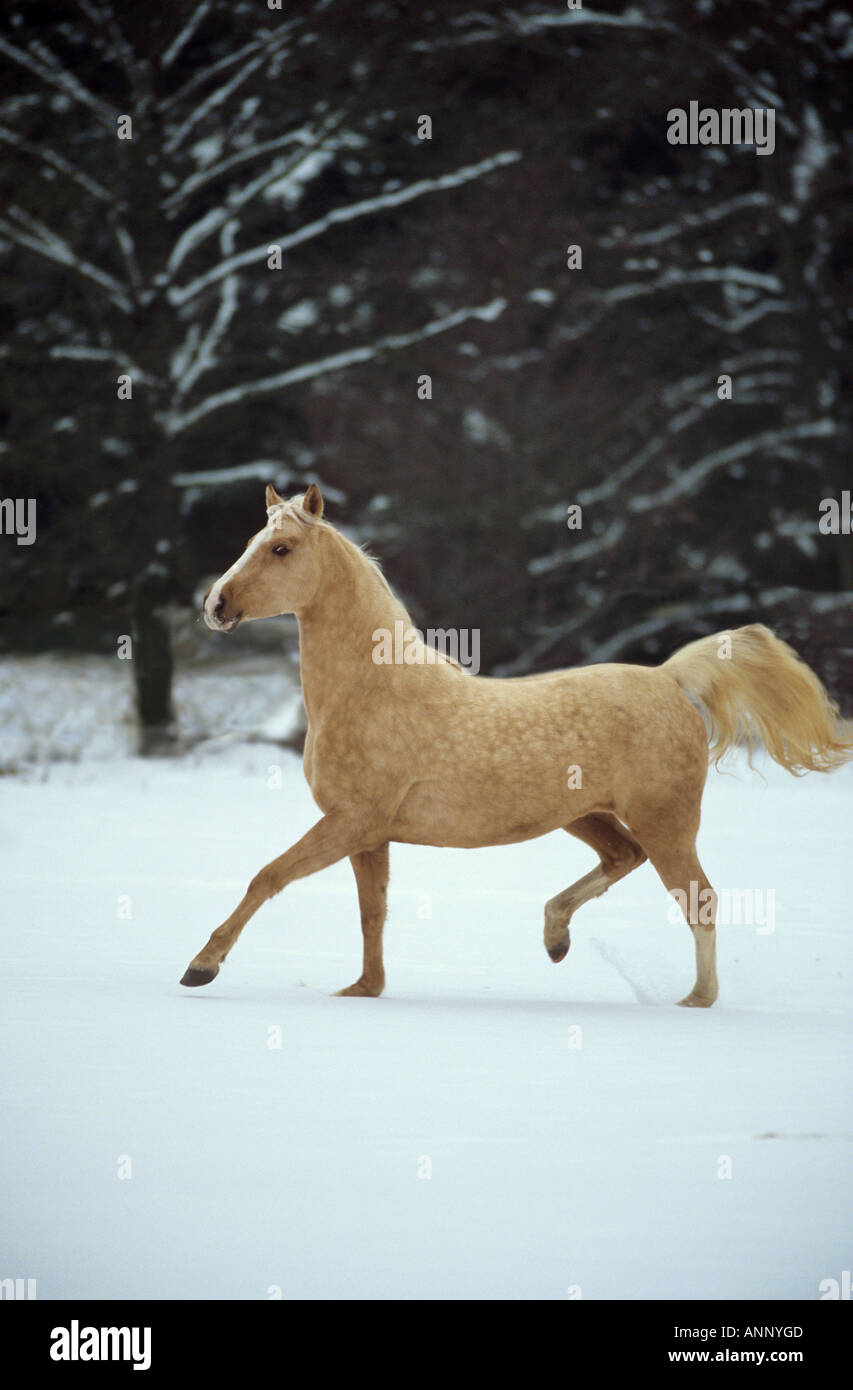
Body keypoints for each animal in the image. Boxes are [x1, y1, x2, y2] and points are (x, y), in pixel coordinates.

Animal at [181, 489, 853, 1011]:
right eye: (253, 539)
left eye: (281, 549)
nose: (215, 605)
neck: (374, 690)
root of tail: (670, 680)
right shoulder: (369, 835)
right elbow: (373, 913)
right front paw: (364, 989)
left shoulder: (351, 822)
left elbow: (268, 877)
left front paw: (201, 967)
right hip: (586, 816)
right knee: (623, 857)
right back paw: (556, 938)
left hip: (667, 823)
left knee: (700, 900)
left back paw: (696, 999)